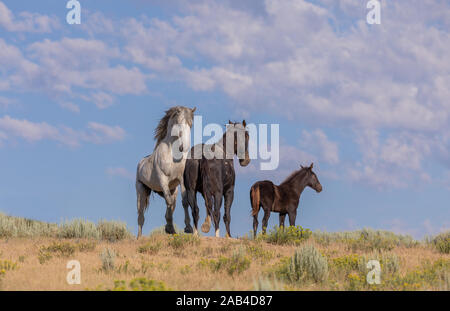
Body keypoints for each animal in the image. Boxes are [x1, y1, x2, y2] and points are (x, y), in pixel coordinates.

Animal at [135, 106, 195, 240]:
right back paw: (139, 237)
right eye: (179, 124)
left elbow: (184, 202)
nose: (185, 148)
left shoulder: (181, 181)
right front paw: (170, 228)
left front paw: (187, 228)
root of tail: (140, 163)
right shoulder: (163, 180)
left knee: (171, 204)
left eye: (191, 125)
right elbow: (169, 201)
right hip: (141, 191)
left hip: (173, 190)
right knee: (141, 215)